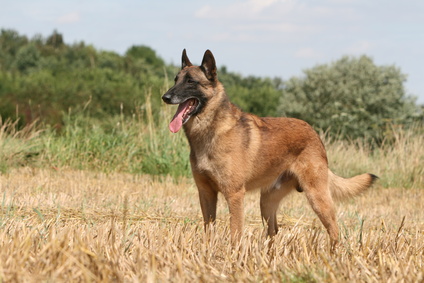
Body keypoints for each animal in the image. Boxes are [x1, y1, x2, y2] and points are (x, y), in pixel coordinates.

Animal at [162, 49, 378, 246]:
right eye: (175, 80)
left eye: (191, 81)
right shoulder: (206, 193)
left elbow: (235, 233)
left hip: (318, 198)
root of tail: (314, 133)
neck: (211, 130)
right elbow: (209, 230)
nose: (165, 97)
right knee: (273, 230)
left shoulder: (234, 195)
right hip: (266, 202)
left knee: (334, 230)